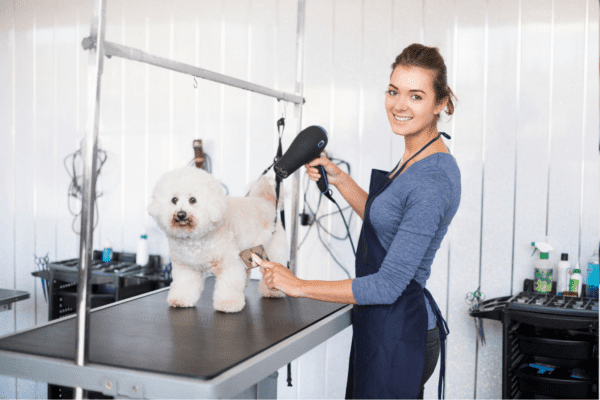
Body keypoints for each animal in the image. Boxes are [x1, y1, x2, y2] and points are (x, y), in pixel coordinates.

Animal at [146, 166, 284, 312]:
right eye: (174, 200)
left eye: (192, 200)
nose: (181, 214)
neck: (195, 239)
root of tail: (266, 201)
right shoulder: (186, 267)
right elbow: (185, 285)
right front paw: (181, 300)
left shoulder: (229, 264)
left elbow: (228, 285)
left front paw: (228, 304)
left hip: (271, 254)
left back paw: (273, 291)